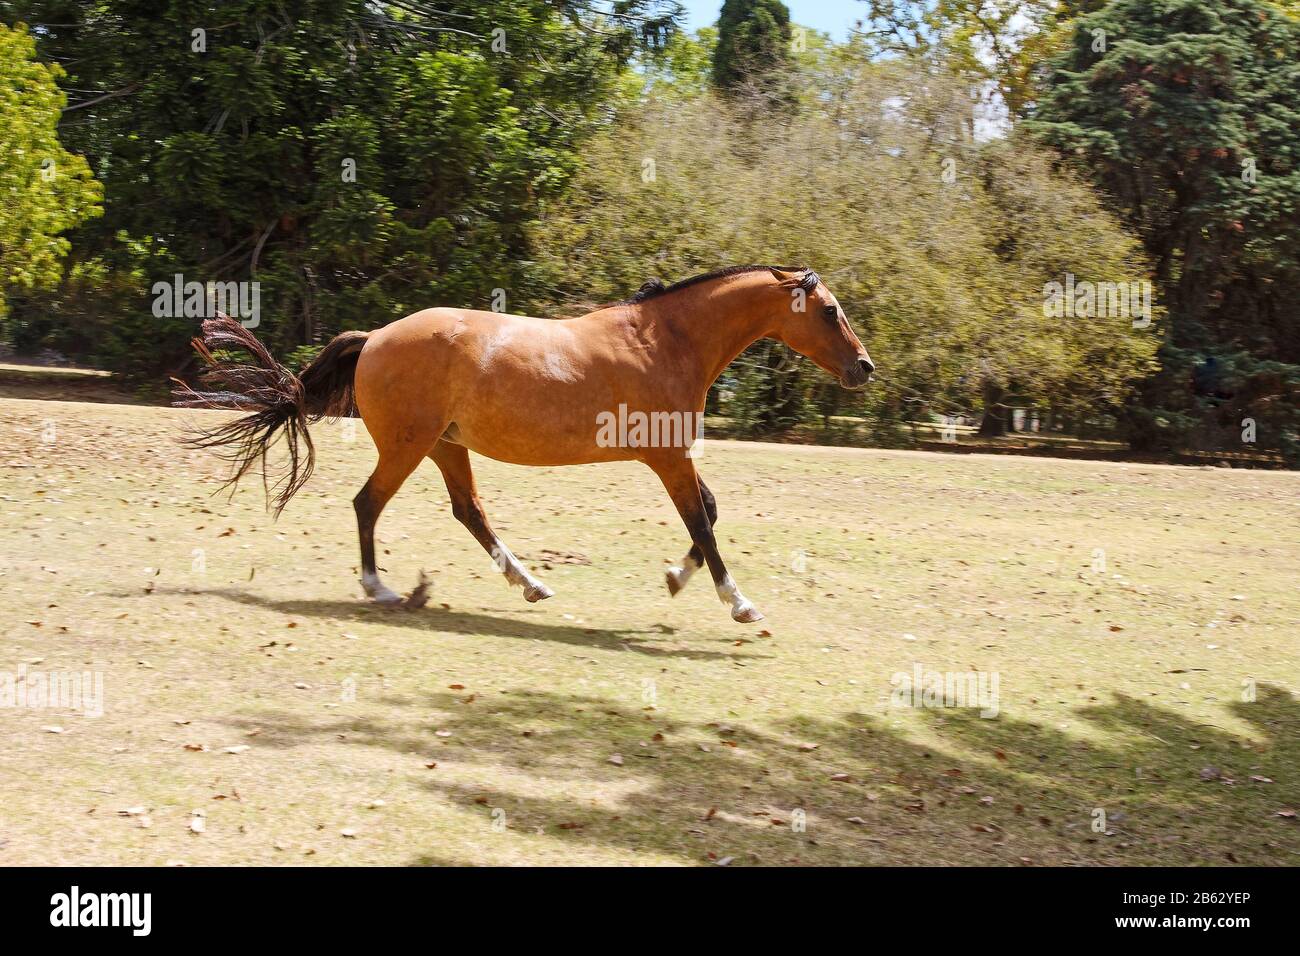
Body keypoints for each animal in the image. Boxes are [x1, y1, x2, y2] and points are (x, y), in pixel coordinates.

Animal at [175, 265, 873, 624]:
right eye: (830, 310)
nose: (864, 367)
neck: (664, 340)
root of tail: (373, 338)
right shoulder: (668, 458)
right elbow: (702, 520)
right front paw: (740, 604)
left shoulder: (673, 456)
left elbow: (709, 515)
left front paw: (676, 578)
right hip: (408, 446)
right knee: (367, 504)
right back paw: (382, 590)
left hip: (445, 447)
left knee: (468, 511)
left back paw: (530, 584)